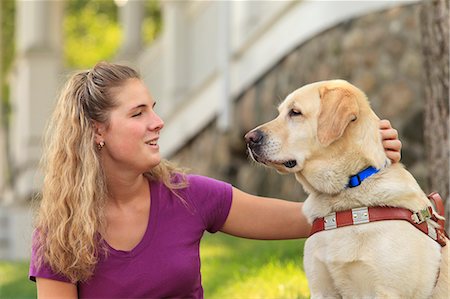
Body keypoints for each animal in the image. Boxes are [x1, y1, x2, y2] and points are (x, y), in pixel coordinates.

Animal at [244, 80, 448, 299]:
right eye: (280, 113)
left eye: (295, 112)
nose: (248, 138)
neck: (346, 193)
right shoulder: (321, 290)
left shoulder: (388, 291)